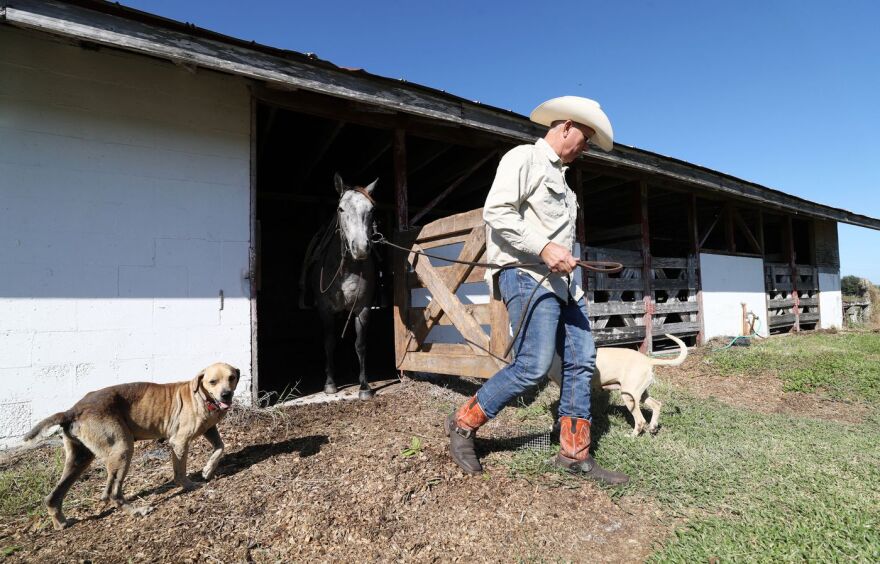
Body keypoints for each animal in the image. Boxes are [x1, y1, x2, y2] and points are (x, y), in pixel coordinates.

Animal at [23, 362, 241, 528]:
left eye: (231, 378)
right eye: (212, 381)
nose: (226, 395)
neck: (201, 397)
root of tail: (72, 410)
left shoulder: (209, 430)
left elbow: (220, 447)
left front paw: (208, 469)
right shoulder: (179, 442)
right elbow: (180, 472)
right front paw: (189, 485)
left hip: (79, 459)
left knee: (53, 497)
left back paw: (61, 523)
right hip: (122, 449)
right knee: (113, 492)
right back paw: (137, 510)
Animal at [304, 174, 376, 398]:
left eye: (371, 210)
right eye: (341, 209)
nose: (360, 248)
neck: (345, 269)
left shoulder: (362, 308)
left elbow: (360, 345)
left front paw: (364, 386)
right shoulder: (325, 310)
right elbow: (329, 343)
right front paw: (329, 383)